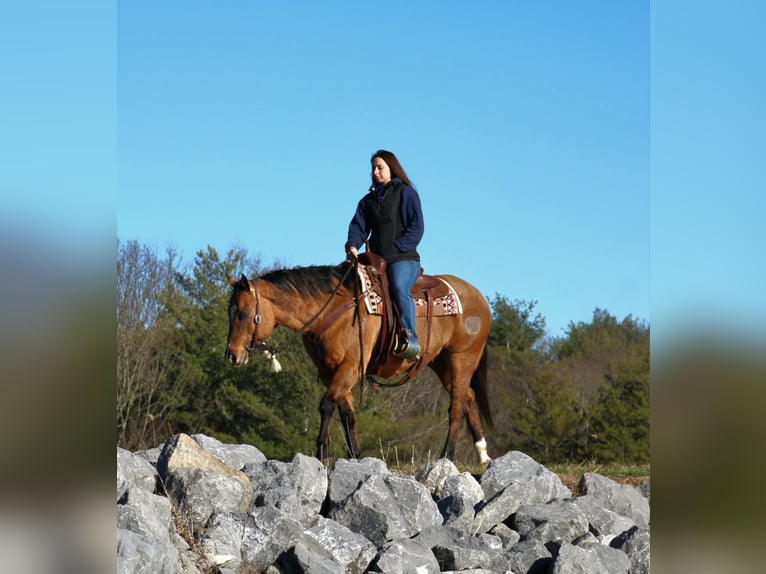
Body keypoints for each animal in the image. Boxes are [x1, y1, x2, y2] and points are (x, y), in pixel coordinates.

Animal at [225, 262, 496, 468]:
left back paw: (447, 455)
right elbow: (347, 413)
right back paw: (483, 455)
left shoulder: (351, 366)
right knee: (468, 397)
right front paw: (354, 454)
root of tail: (479, 297)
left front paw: (322, 452)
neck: (333, 310)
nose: (231, 355)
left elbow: (327, 406)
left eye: (243, 313)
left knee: (456, 405)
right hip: (441, 363)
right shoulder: (330, 371)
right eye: (230, 312)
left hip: (462, 358)